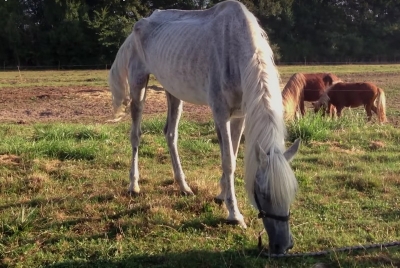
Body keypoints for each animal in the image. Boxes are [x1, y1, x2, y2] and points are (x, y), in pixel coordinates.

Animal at [109, 0, 300, 254]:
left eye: (291, 193)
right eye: (263, 194)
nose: (282, 246)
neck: (234, 48)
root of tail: (139, 25)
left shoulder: (240, 115)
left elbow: (234, 154)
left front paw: (221, 196)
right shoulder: (220, 113)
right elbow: (228, 161)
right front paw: (234, 215)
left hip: (173, 91)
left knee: (170, 134)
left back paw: (184, 186)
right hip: (138, 84)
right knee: (135, 136)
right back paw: (134, 185)